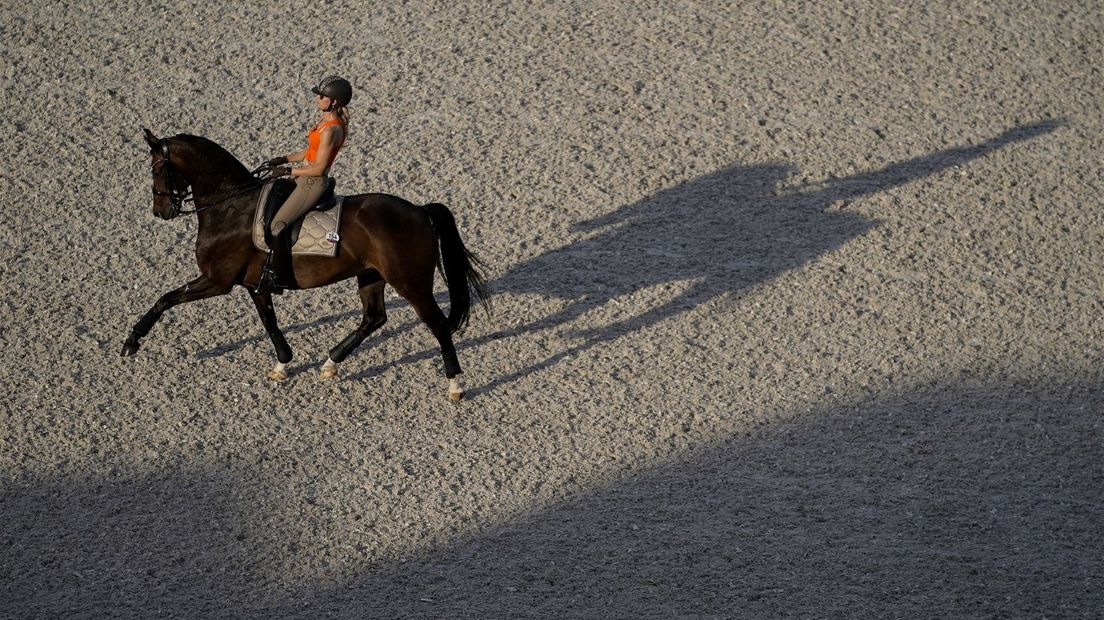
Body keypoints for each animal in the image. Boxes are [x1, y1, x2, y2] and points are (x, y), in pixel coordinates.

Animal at [118, 127, 490, 397]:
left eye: (156, 168)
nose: (161, 212)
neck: (231, 206)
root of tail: (420, 211)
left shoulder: (217, 280)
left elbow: (165, 299)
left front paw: (131, 342)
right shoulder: (255, 285)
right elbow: (269, 323)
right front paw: (283, 365)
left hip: (410, 283)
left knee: (437, 325)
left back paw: (455, 386)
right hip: (371, 276)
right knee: (374, 318)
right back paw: (330, 363)